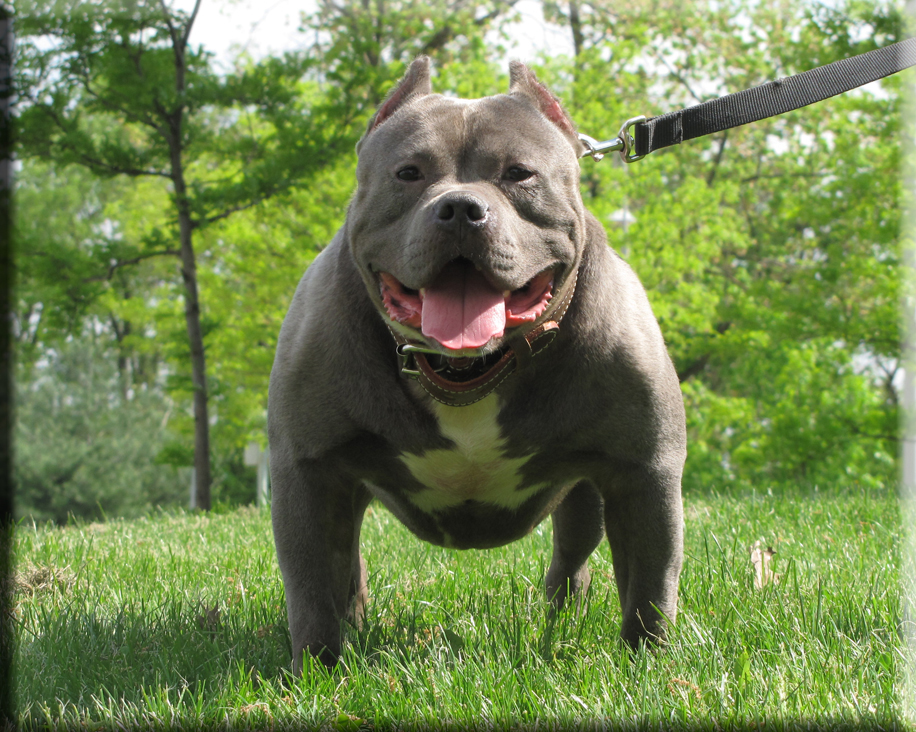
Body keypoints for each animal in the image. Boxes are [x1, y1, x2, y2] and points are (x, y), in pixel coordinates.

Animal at [268, 58, 684, 676]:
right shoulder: (309, 472)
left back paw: (564, 617)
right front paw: (318, 674)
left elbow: (651, 588)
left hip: (584, 497)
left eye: (519, 174)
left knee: (573, 556)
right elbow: (312, 590)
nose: (460, 208)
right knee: (347, 565)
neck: (467, 372)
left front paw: (646, 666)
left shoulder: (644, 474)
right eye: (408, 173)